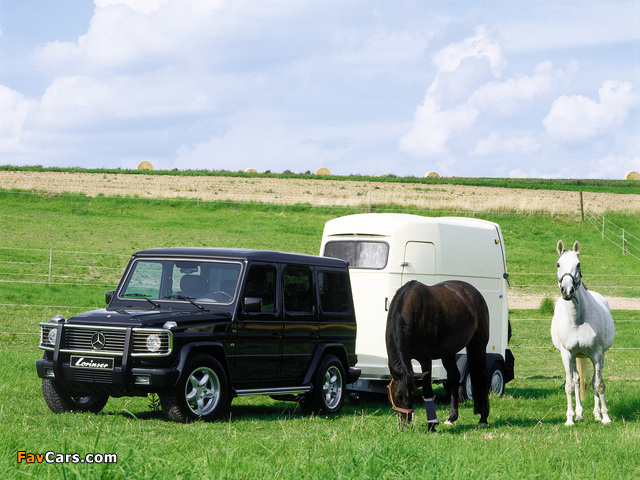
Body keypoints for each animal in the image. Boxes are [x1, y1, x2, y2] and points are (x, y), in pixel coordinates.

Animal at [384, 280, 490, 430]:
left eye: (413, 395)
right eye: (397, 396)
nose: (405, 424)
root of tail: (473, 293)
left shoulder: (425, 360)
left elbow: (427, 391)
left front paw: (432, 425)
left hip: (478, 345)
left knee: (481, 376)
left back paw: (483, 417)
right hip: (448, 353)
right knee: (454, 377)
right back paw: (451, 417)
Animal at [552, 242, 616, 426]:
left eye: (578, 264)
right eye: (558, 264)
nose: (567, 291)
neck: (578, 320)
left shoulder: (597, 354)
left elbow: (599, 385)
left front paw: (606, 417)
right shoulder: (567, 354)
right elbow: (569, 385)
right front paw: (569, 419)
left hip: (599, 357)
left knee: (594, 380)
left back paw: (596, 414)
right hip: (575, 356)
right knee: (577, 380)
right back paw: (579, 414)